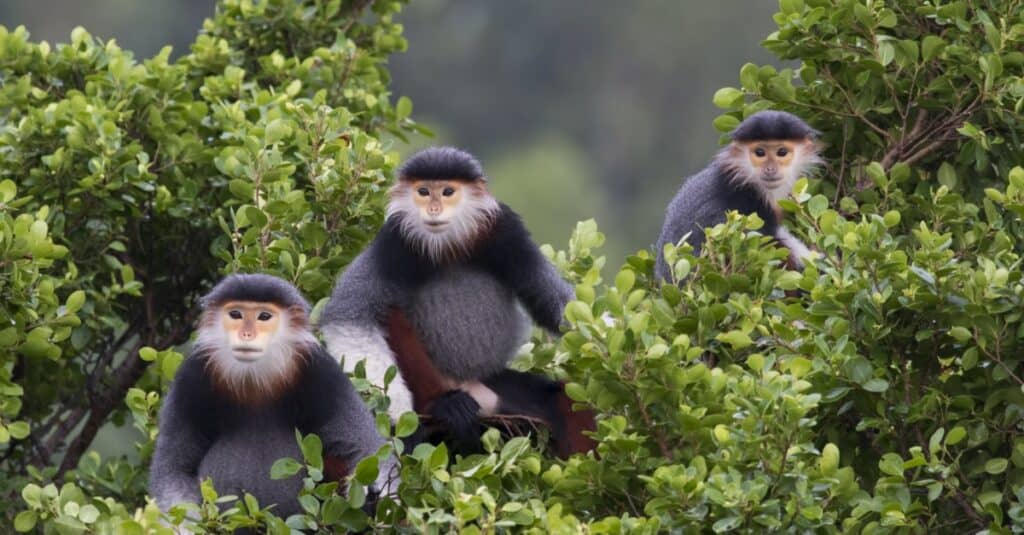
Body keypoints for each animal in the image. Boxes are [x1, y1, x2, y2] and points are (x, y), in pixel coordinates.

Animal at [149, 272, 397, 522]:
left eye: (264, 316)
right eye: (236, 314)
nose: (246, 334)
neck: (252, 377)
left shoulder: (322, 371)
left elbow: (364, 445)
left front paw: (379, 493)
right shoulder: (191, 377)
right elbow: (174, 470)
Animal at [323, 146, 589, 453]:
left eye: (448, 191)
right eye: (424, 191)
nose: (434, 209)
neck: (448, 246)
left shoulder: (507, 232)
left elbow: (552, 303)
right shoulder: (393, 242)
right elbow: (348, 315)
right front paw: (400, 423)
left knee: (558, 399)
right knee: (388, 312)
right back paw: (446, 406)